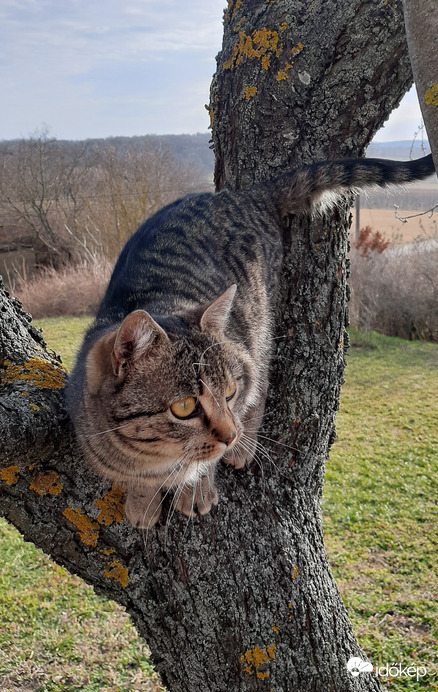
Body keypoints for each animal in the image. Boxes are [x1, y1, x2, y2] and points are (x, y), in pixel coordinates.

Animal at [65, 154, 434, 528]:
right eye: (184, 407)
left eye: (229, 392)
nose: (230, 437)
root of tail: (242, 195)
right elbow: (139, 479)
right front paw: (143, 497)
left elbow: (209, 455)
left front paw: (197, 487)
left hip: (258, 323)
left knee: (262, 382)